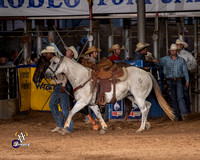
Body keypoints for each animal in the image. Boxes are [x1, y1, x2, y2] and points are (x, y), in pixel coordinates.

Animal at [45, 55, 173, 133]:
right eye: (50, 62)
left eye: (54, 62)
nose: (47, 74)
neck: (82, 78)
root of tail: (147, 73)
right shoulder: (92, 104)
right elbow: (98, 115)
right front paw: (104, 127)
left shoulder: (82, 102)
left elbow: (71, 111)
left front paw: (66, 126)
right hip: (132, 97)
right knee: (148, 105)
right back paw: (146, 125)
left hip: (138, 96)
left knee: (144, 109)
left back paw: (140, 128)